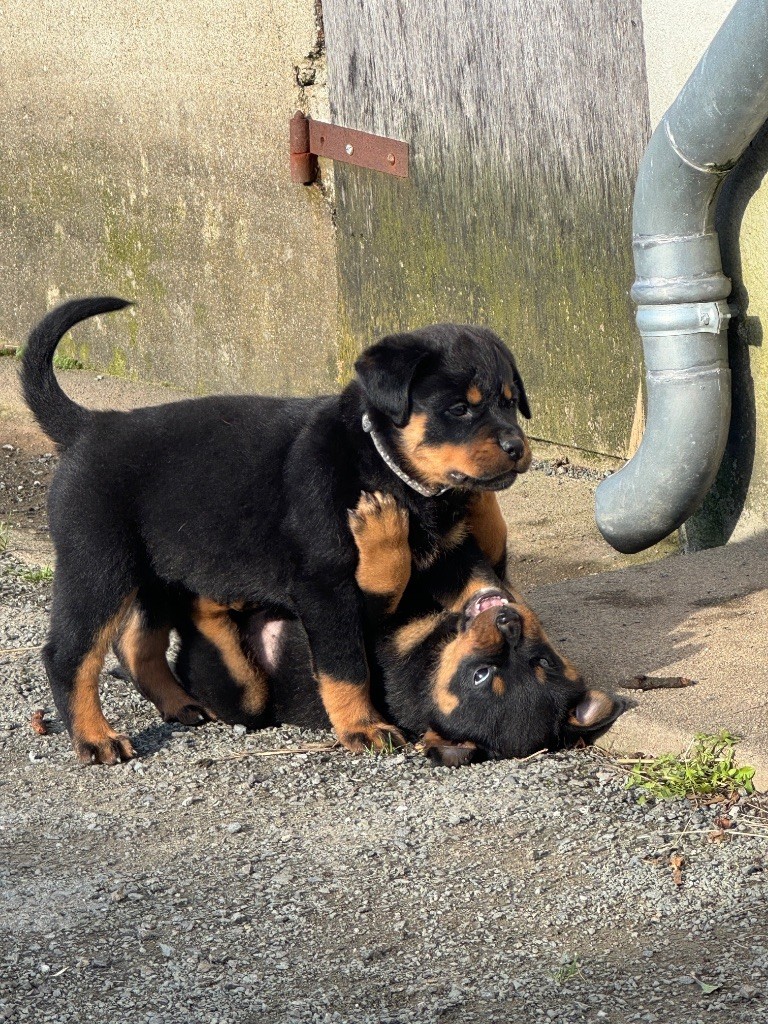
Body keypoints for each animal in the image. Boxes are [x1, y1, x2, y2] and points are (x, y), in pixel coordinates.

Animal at [19, 296, 536, 761]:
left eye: (511, 403)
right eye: (459, 409)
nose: (516, 447)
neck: (386, 466)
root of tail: (90, 427)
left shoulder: (451, 555)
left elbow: (481, 582)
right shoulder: (325, 585)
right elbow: (347, 665)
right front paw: (362, 727)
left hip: (159, 568)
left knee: (136, 642)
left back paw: (181, 703)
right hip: (98, 564)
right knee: (70, 655)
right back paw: (95, 738)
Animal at [157, 491, 626, 765]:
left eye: (481, 675)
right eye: (542, 660)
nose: (509, 623)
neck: (430, 664)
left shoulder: (371, 625)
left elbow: (386, 583)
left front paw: (382, 530)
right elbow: (491, 541)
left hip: (246, 697)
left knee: (213, 642)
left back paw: (206, 597)